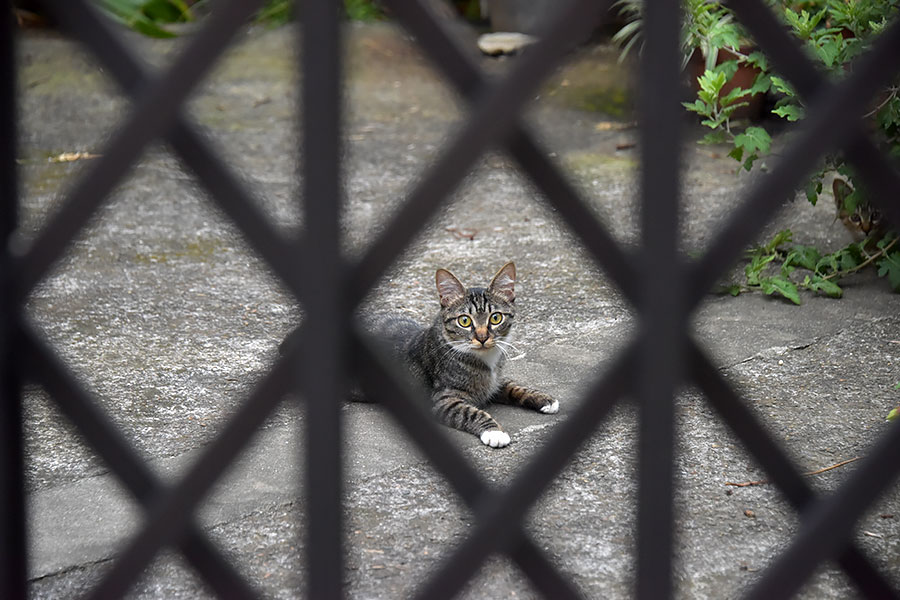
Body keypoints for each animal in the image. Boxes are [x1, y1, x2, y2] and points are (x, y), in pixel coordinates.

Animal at [370, 260, 556, 448]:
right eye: (464, 321)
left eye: (496, 318)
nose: (482, 338)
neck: (486, 359)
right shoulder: (443, 400)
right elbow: (471, 413)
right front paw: (494, 431)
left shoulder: (494, 382)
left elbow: (513, 386)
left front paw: (544, 398)